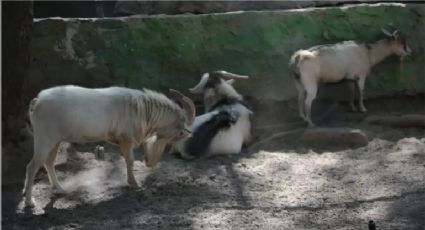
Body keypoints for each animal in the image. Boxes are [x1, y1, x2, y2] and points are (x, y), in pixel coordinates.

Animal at [23, 85, 195, 208]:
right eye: (178, 133)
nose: (150, 163)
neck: (141, 109)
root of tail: (37, 101)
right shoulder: (127, 140)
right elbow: (130, 160)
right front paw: (134, 184)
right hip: (44, 139)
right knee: (32, 166)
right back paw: (29, 202)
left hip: (55, 141)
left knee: (49, 162)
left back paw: (59, 188)